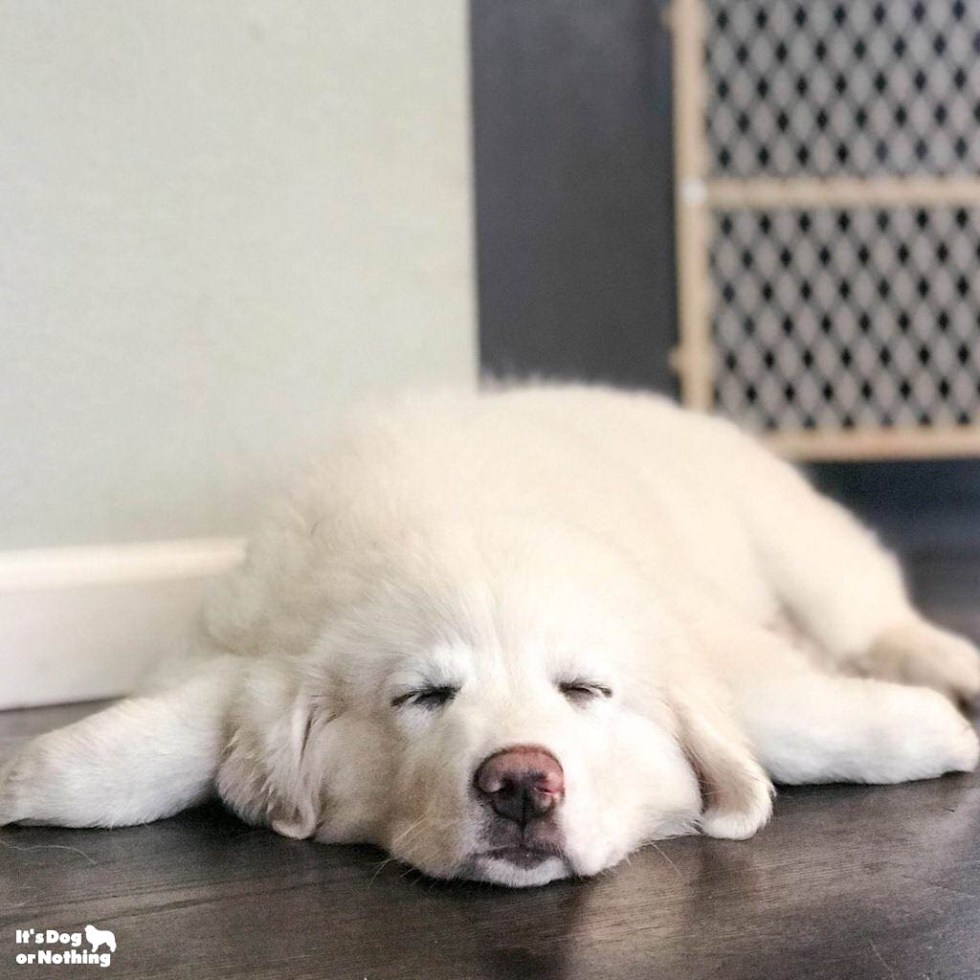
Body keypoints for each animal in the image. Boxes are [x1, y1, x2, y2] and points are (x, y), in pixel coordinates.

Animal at [1, 384, 980, 888]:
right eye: (425, 696)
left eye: (584, 690)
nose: (521, 784)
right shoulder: (252, 643)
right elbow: (168, 734)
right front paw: (26, 780)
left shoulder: (705, 635)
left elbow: (789, 719)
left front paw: (943, 733)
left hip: (803, 549)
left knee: (880, 619)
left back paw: (953, 668)